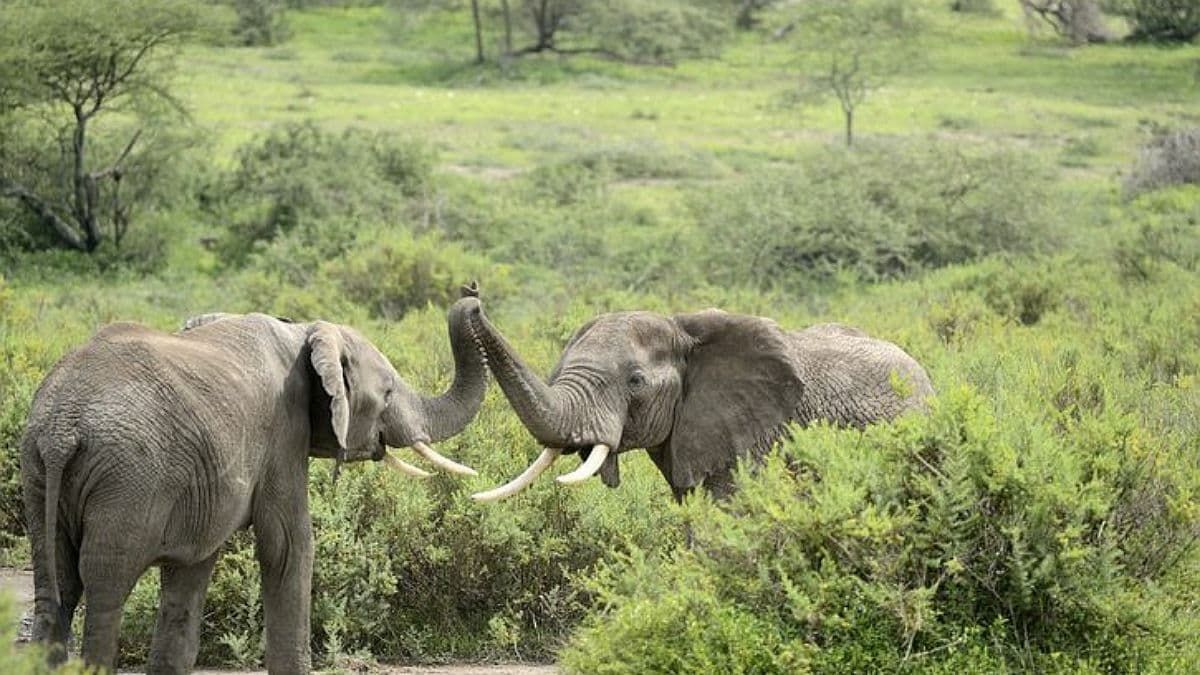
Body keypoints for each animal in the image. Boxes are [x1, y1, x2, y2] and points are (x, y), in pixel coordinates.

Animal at [19, 294, 487, 672]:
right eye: (387, 392)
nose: (474, 297)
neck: (304, 331)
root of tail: (61, 429)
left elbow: (191, 572)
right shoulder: (284, 431)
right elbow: (289, 545)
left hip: (38, 474)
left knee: (55, 589)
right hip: (127, 478)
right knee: (104, 589)